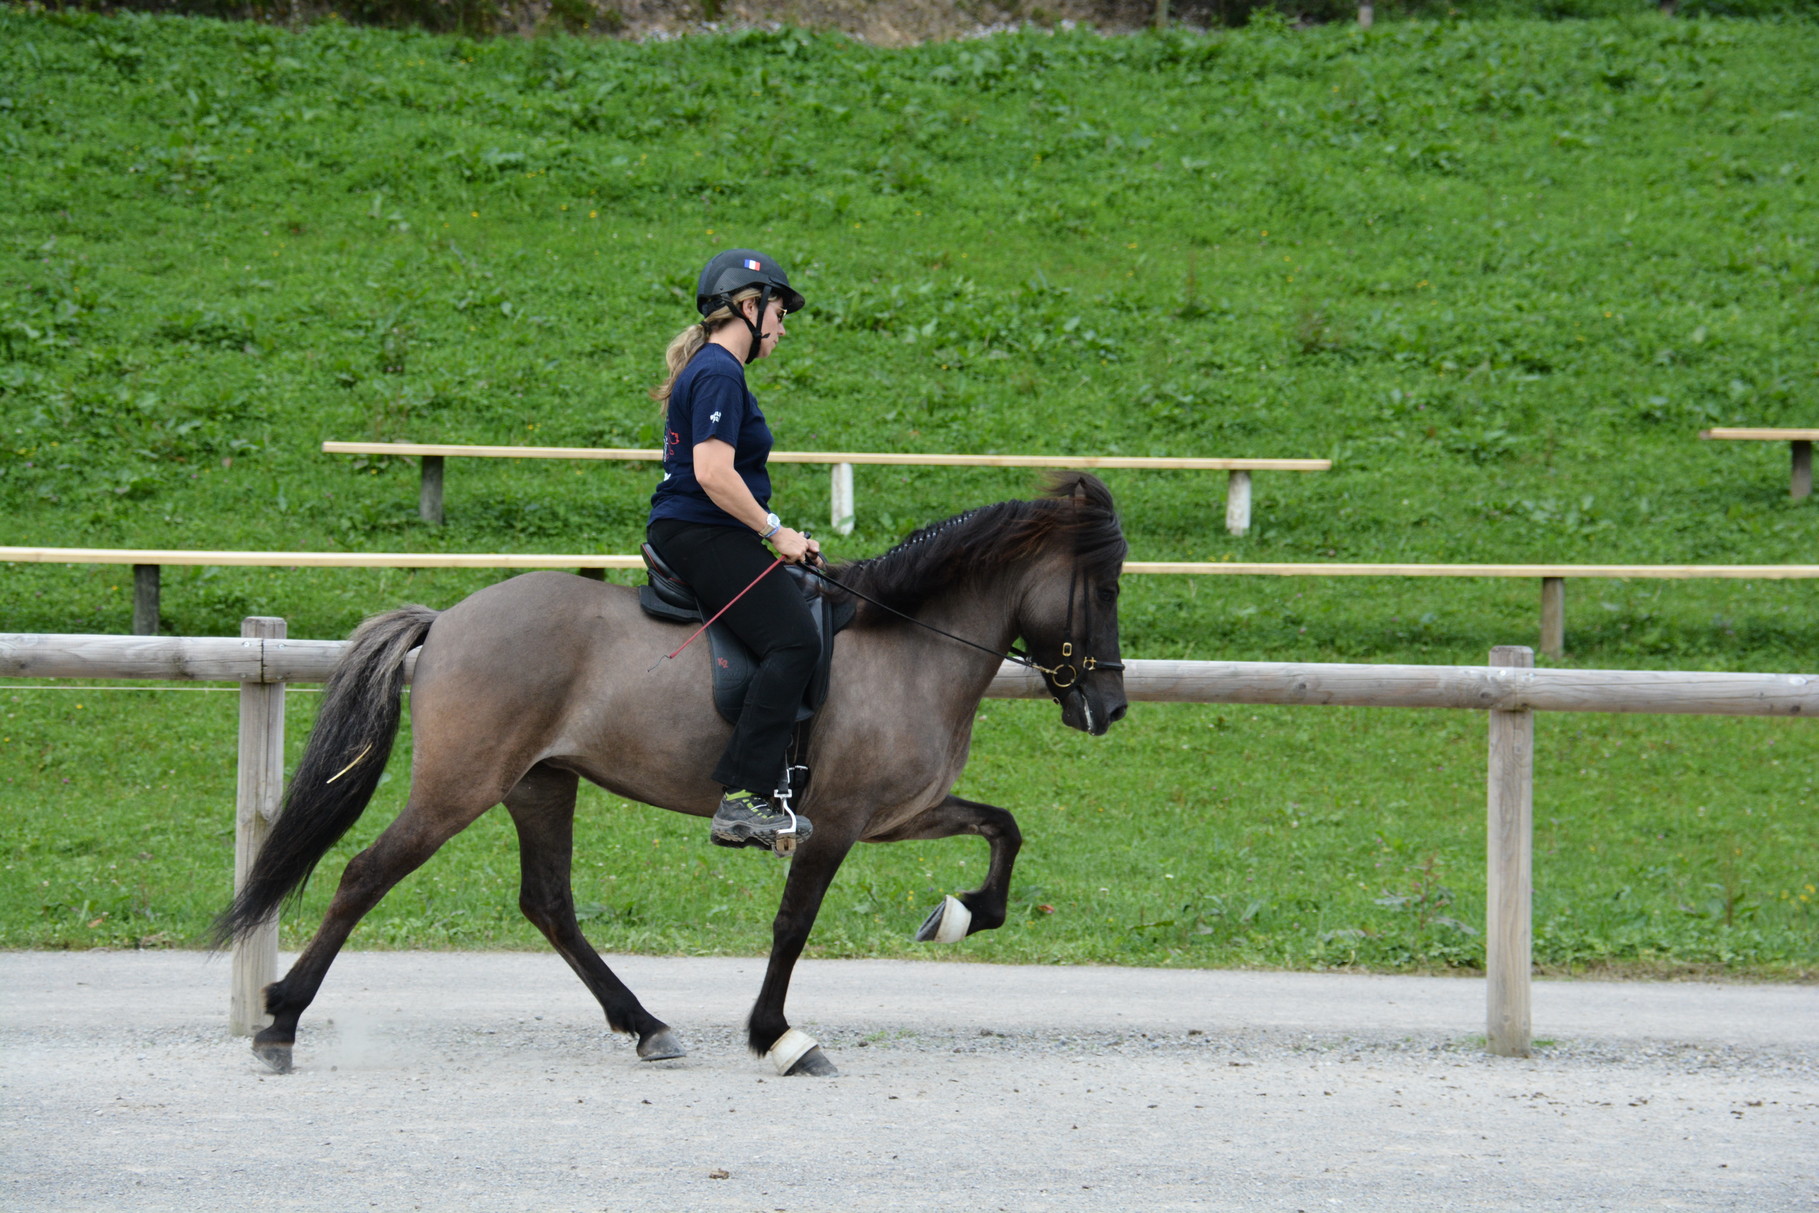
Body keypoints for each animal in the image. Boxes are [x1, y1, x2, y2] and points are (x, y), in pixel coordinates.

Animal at [209, 469, 1120, 1076]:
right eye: (1103, 586)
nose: (1106, 707)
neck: (909, 643)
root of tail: (451, 619)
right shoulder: (835, 822)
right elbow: (793, 925)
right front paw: (777, 1035)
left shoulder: (898, 814)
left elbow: (1003, 828)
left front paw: (959, 915)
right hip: (459, 786)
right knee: (365, 874)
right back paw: (280, 1023)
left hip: (541, 782)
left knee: (548, 903)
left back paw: (644, 1022)